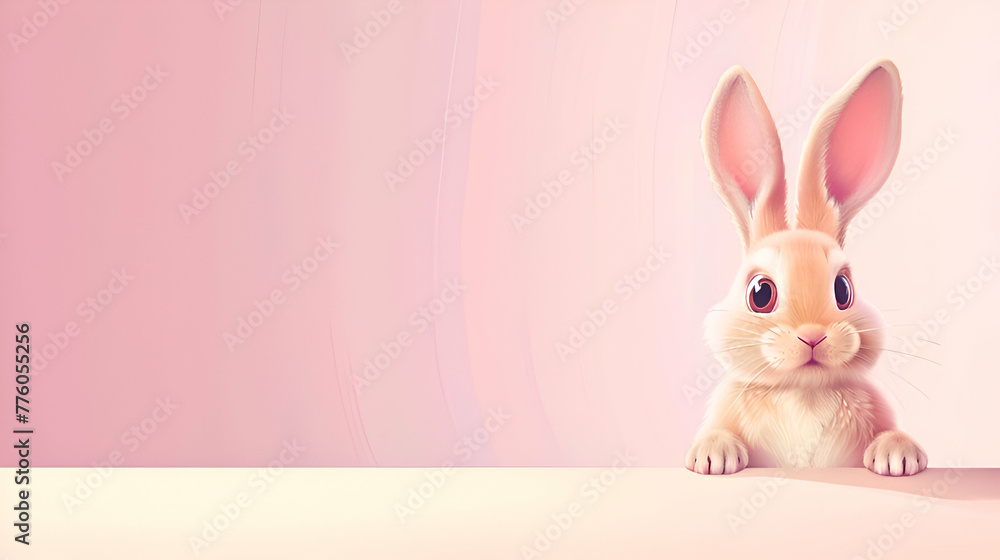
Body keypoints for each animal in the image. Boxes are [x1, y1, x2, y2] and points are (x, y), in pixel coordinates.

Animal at [684, 59, 927, 476]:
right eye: (760, 294)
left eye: (843, 290)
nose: (812, 336)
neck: (803, 391)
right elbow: (720, 431)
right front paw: (714, 455)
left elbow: (888, 433)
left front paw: (899, 456)